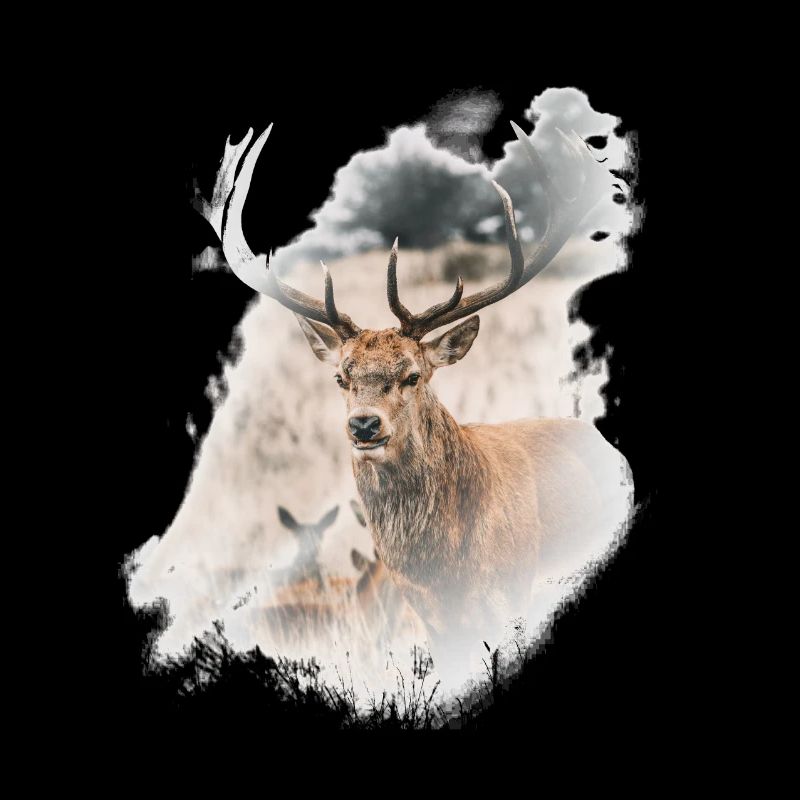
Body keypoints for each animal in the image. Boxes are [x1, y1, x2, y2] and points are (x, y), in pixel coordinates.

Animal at [195, 121, 631, 673]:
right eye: (341, 377)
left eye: (413, 375)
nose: (364, 425)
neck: (442, 568)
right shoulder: (427, 615)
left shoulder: (510, 594)